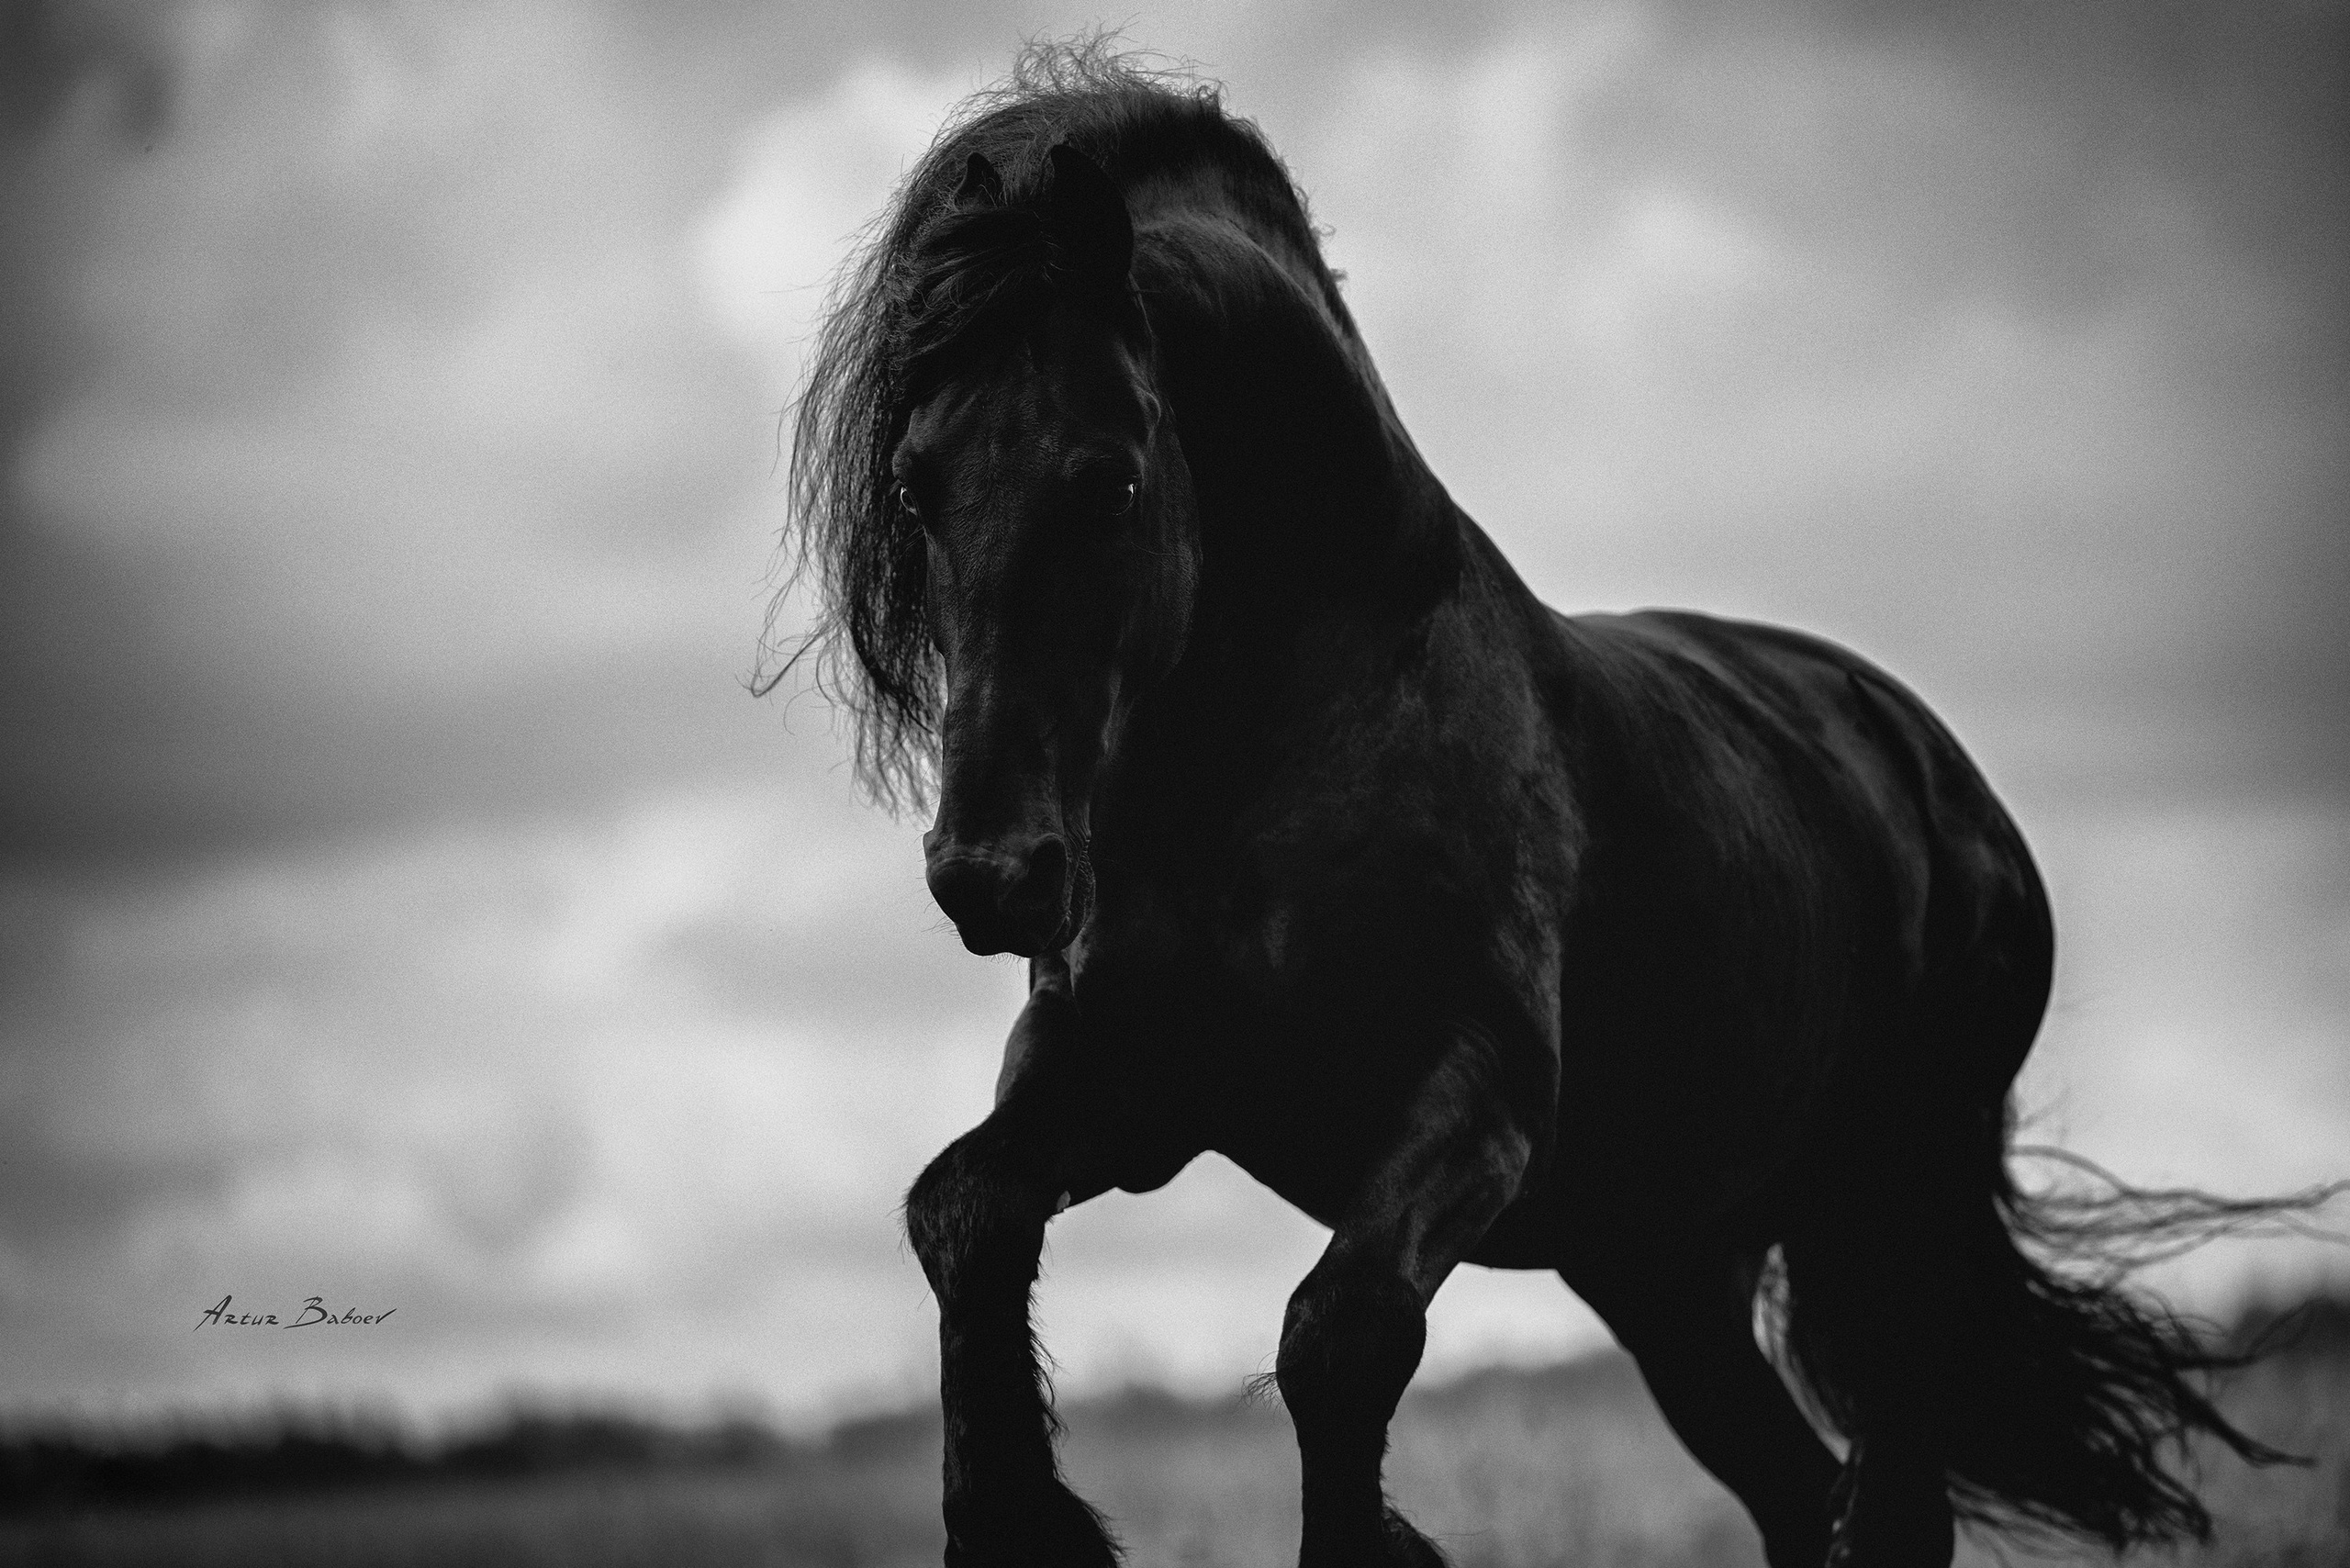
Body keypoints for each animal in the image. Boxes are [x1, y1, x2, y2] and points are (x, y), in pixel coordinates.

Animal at [772, 42, 2296, 1568]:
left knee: (1889, 1504)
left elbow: (1338, 1340)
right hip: (1662, 1266)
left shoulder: (1477, 1099)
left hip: (1886, 1226)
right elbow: (962, 1213)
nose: (992, 874)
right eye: (916, 482)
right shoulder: (1129, 1089)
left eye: (1112, 477)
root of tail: (1945, 781)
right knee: (1800, 1493)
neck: (1290, 734)